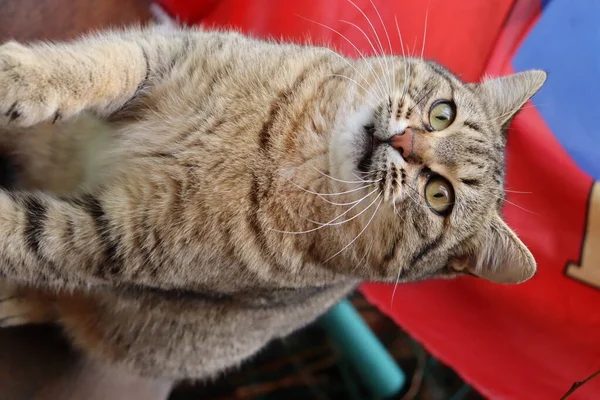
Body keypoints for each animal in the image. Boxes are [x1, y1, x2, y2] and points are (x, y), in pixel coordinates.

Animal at [0, 23, 548, 380]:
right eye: (441, 114)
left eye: (439, 196)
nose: (405, 143)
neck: (290, 150)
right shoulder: (169, 48)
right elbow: (107, 63)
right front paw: (19, 76)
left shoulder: (111, 239)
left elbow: (23, 235)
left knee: (65, 307)